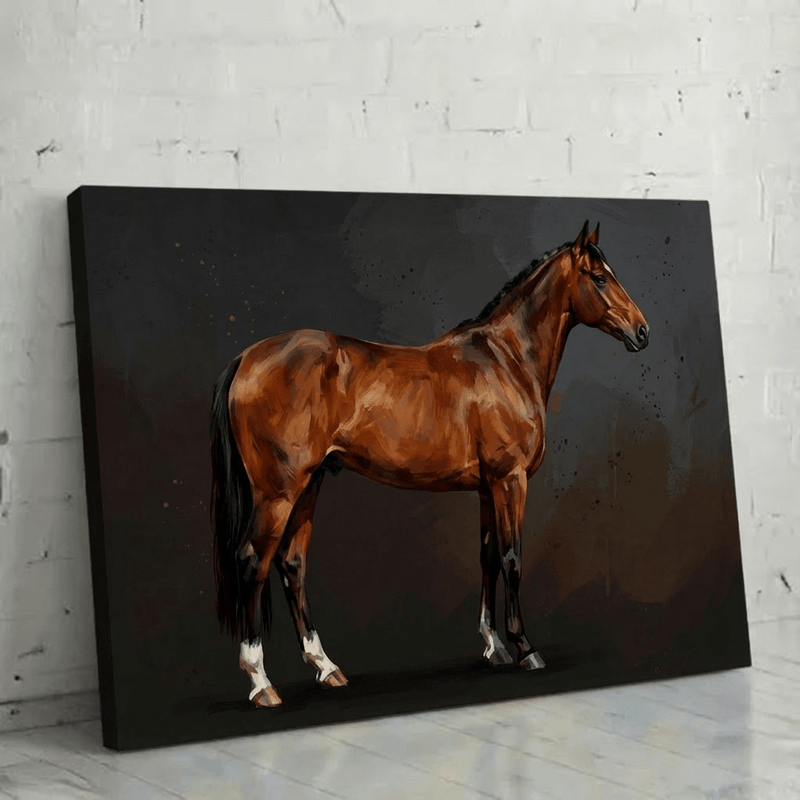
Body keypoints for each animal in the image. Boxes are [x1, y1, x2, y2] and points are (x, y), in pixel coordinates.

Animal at [209, 220, 649, 708]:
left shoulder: (486, 487)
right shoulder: (510, 480)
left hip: (309, 484)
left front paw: (493, 646)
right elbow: (512, 557)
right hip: (278, 492)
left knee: (292, 565)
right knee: (253, 561)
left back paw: (326, 667)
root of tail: (246, 359)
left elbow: (487, 557)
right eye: (600, 278)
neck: (506, 360)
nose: (642, 331)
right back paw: (261, 682)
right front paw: (525, 648)